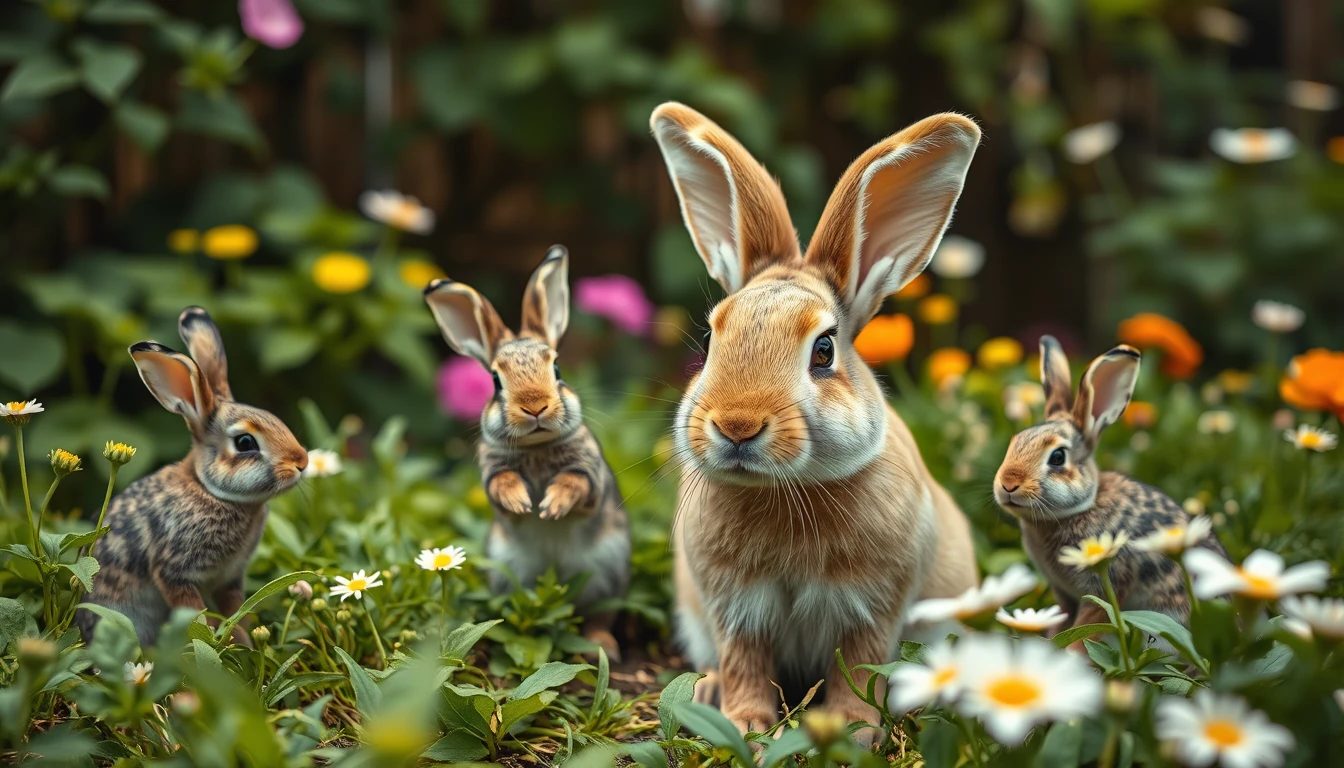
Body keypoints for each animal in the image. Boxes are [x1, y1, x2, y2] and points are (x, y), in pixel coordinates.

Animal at [78, 307, 308, 648]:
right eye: (245, 443)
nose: (302, 462)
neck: (210, 490)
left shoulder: (229, 579)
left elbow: (235, 610)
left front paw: (243, 640)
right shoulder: (175, 570)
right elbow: (194, 612)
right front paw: (217, 642)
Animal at [423, 245, 630, 660]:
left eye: (557, 367)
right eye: (495, 380)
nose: (535, 406)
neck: (536, 446)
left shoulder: (590, 475)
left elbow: (575, 483)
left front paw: (550, 506)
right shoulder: (491, 473)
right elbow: (502, 484)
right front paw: (522, 503)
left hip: (609, 571)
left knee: (599, 616)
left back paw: (603, 647)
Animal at [649, 102, 981, 742]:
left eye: (823, 350)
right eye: (711, 338)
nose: (736, 426)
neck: (787, 488)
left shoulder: (872, 606)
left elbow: (861, 668)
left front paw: (853, 731)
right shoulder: (736, 608)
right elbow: (745, 662)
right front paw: (748, 727)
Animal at [993, 336, 1228, 637]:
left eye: (1057, 457)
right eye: (1014, 443)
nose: (1008, 484)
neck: (1078, 509)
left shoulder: (1104, 587)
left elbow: (1085, 631)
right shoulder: (1064, 595)